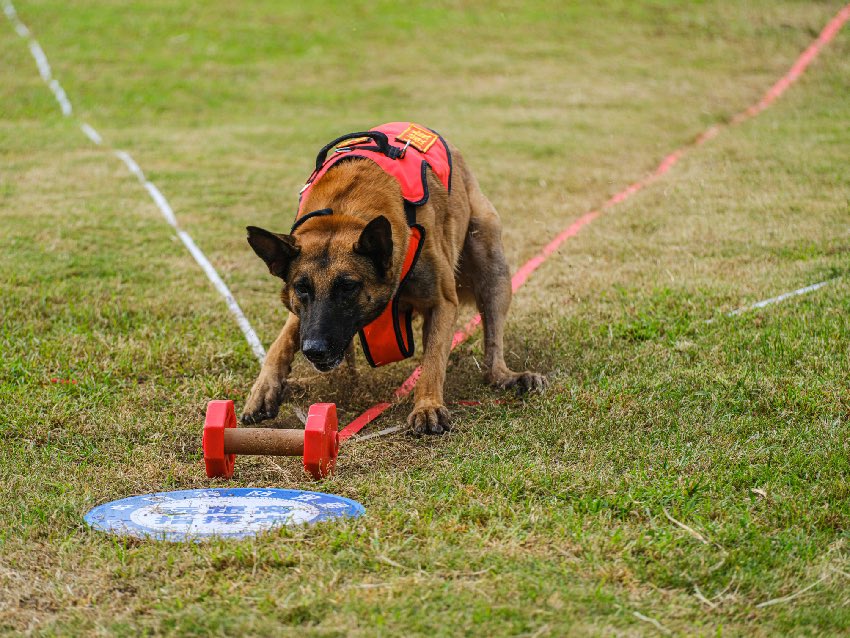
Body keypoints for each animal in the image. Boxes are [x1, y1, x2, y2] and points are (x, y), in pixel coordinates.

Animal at [240, 123, 544, 438]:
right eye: (301, 288)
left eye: (348, 287)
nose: (314, 349)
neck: (343, 212)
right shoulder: (303, 315)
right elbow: (281, 341)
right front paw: (264, 388)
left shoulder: (442, 303)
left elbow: (433, 361)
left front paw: (427, 406)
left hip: (492, 269)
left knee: (492, 350)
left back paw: (508, 376)